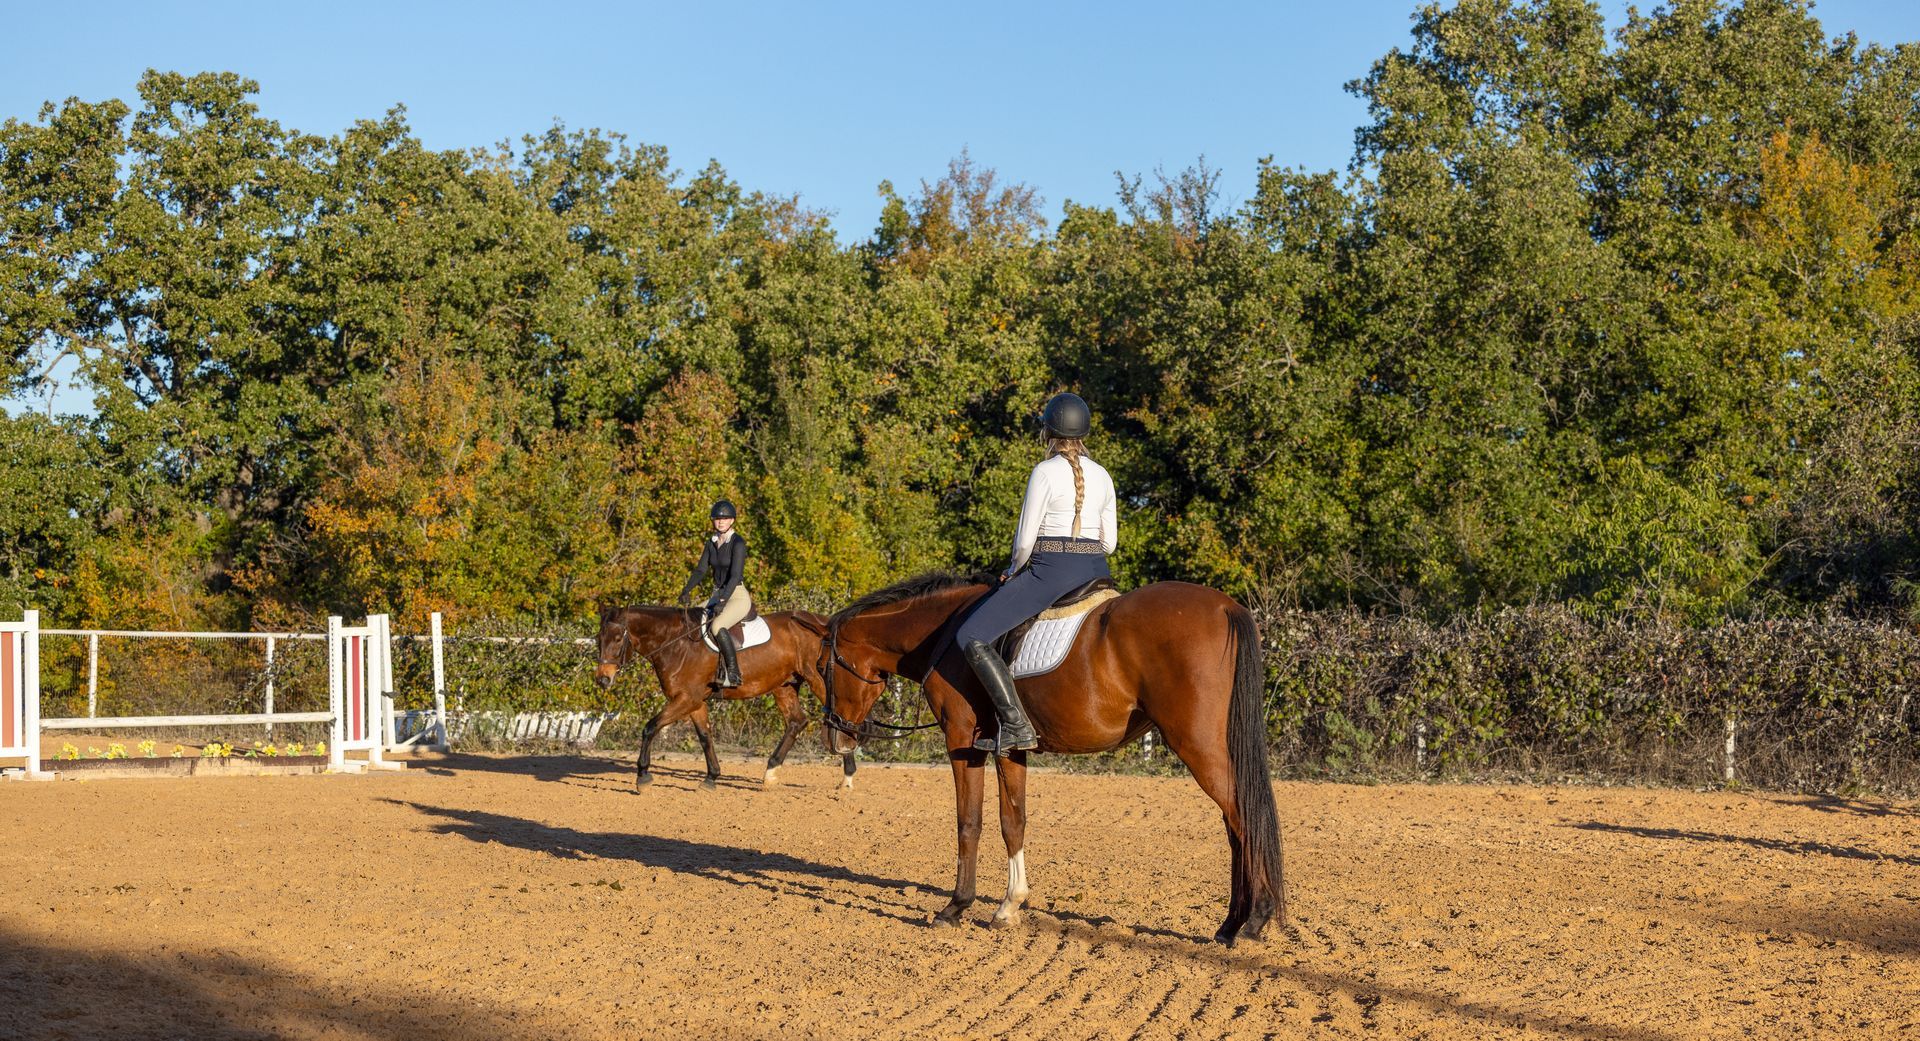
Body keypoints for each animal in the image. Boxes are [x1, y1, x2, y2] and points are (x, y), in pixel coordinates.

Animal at [595, 605, 856, 790]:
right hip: (784, 685)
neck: (677, 643)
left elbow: (650, 727)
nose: (603, 680)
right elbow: (705, 736)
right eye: (598, 639)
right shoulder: (695, 702)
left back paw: (847, 778)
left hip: (820, 682)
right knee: (796, 721)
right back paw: (770, 773)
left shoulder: (687, 698)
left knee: (840, 719)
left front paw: (642, 776)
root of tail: (825, 625)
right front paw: (711, 777)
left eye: (617, 639)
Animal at [814, 572, 1283, 945]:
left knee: (1243, 818)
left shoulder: (961, 743)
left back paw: (1252, 922)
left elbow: (969, 822)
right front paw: (1009, 907)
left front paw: (955, 907)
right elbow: (1013, 820)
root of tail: (1225, 606)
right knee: (1236, 825)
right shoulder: (1010, 749)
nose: (835, 739)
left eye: (822, 667)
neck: (944, 636)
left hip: (1199, 746)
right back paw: (1230, 924)